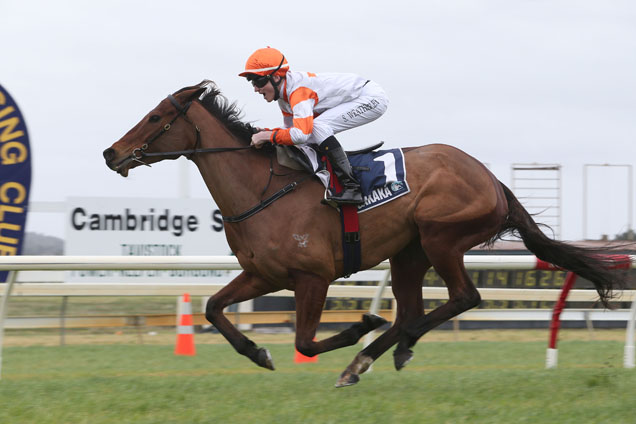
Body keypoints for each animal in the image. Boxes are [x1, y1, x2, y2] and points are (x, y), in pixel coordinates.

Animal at [103, 80, 628, 388]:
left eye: (155, 117)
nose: (111, 153)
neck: (262, 190)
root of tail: (491, 178)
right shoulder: (262, 275)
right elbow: (213, 308)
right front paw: (257, 352)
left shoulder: (312, 277)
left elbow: (305, 342)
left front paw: (356, 328)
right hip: (408, 252)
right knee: (413, 310)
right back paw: (377, 354)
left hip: (440, 238)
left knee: (462, 298)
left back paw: (382, 349)